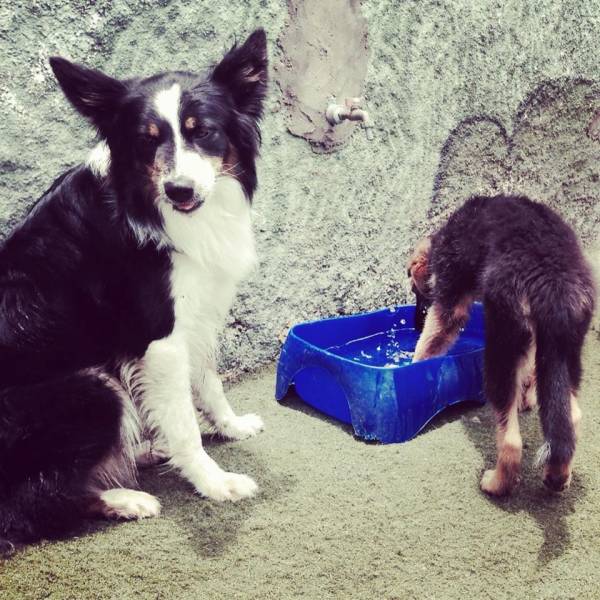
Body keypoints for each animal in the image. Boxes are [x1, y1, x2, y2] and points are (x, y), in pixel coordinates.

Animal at [0, 29, 268, 548]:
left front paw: (230, 426)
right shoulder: (159, 337)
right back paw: (124, 499)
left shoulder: (193, 316)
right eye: (147, 140)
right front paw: (214, 482)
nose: (180, 191)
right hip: (91, 385)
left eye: (202, 131)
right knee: (31, 504)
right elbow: (185, 424)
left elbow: (207, 382)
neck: (150, 204)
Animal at [408, 196, 596, 496]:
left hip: (501, 345)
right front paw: (528, 396)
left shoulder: (450, 301)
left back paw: (496, 484)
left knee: (510, 440)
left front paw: (412, 364)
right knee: (571, 418)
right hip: (568, 348)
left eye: (416, 292)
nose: (415, 321)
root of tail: (552, 280)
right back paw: (558, 477)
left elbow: (430, 340)